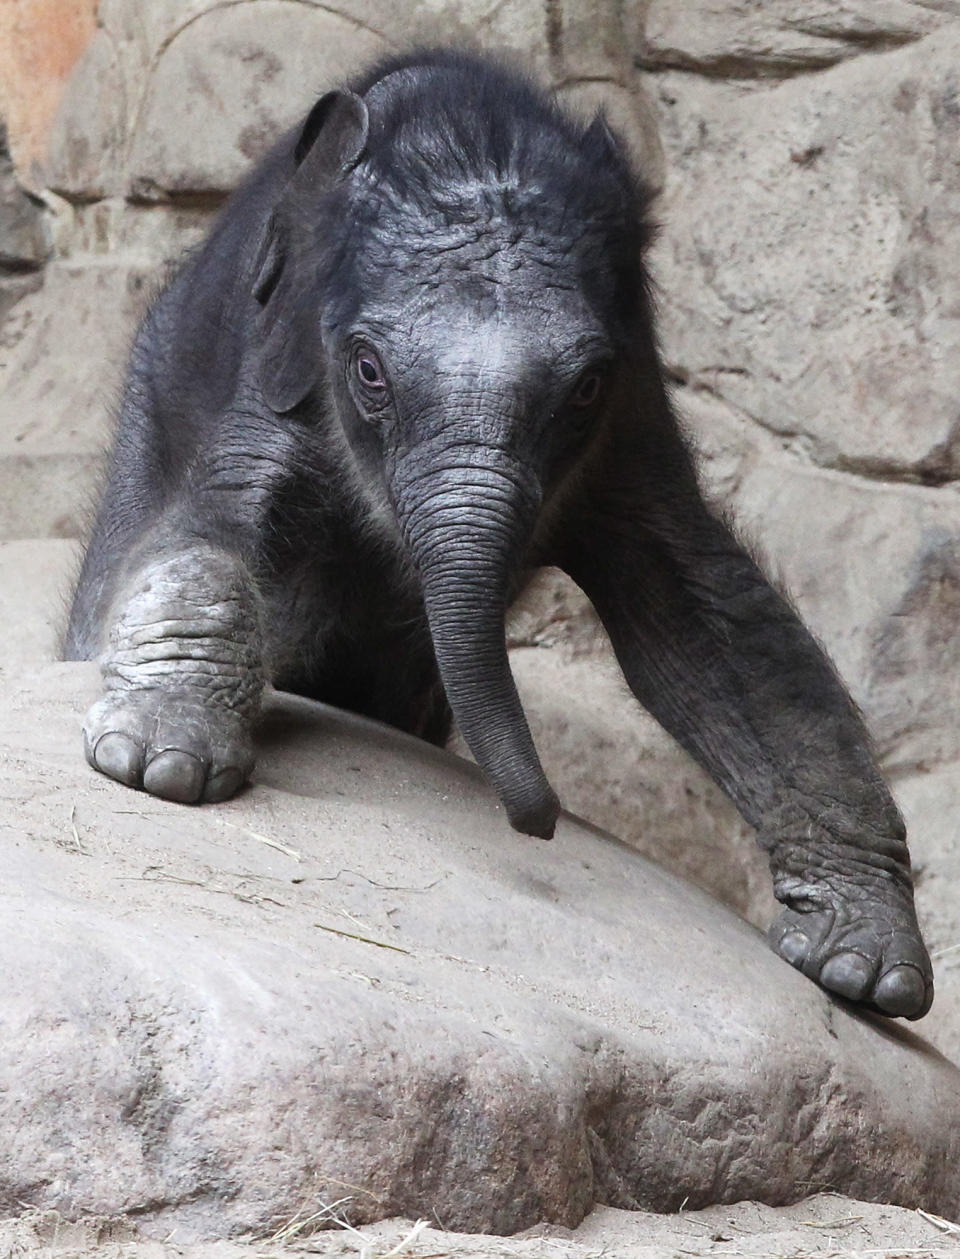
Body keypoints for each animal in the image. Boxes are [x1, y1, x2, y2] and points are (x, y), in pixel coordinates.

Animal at [69, 49, 941, 1022]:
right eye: (368, 369)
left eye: (585, 386)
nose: (542, 819)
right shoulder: (272, 367)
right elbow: (211, 529)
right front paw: (160, 764)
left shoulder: (630, 424)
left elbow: (715, 627)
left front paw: (865, 970)